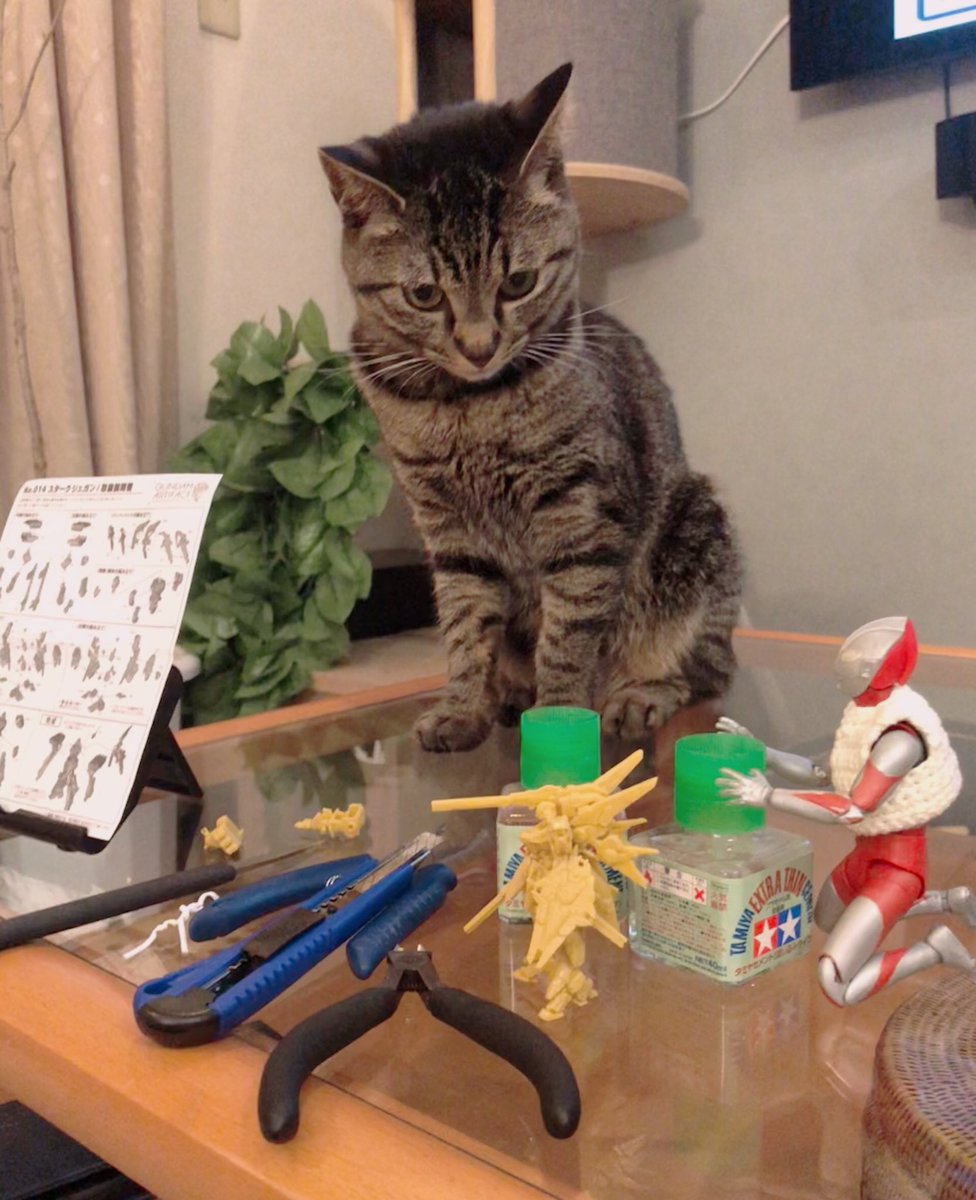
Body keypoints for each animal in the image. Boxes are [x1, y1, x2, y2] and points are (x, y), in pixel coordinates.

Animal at [319, 63, 741, 753]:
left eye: (518, 282)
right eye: (424, 295)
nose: (478, 347)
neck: (469, 408)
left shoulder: (580, 513)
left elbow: (568, 634)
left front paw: (562, 716)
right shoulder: (449, 530)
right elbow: (465, 628)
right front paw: (464, 706)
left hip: (696, 532)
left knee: (703, 670)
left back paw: (637, 694)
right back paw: (510, 691)